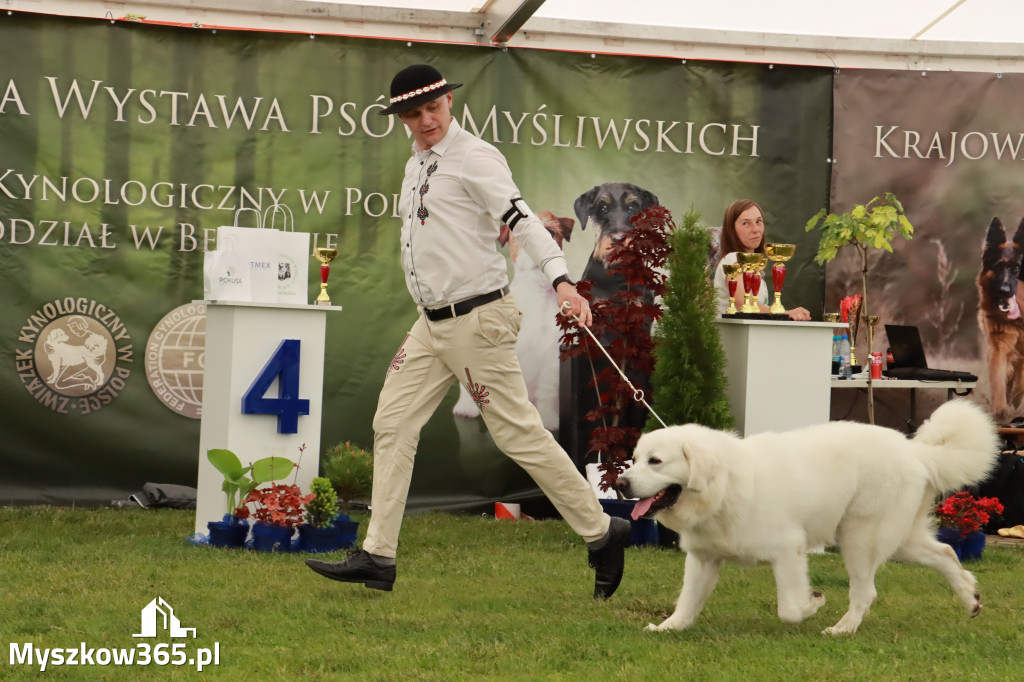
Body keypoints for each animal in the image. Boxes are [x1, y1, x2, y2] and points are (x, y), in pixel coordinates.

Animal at [614, 399, 999, 630]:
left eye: (656, 461)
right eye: (634, 459)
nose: (620, 482)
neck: (723, 486)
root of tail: (916, 451)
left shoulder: (789, 550)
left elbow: (788, 609)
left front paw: (812, 604)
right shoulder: (704, 559)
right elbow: (687, 600)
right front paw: (669, 627)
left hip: (860, 538)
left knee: (866, 592)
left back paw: (843, 629)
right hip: (900, 538)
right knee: (946, 553)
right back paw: (971, 599)